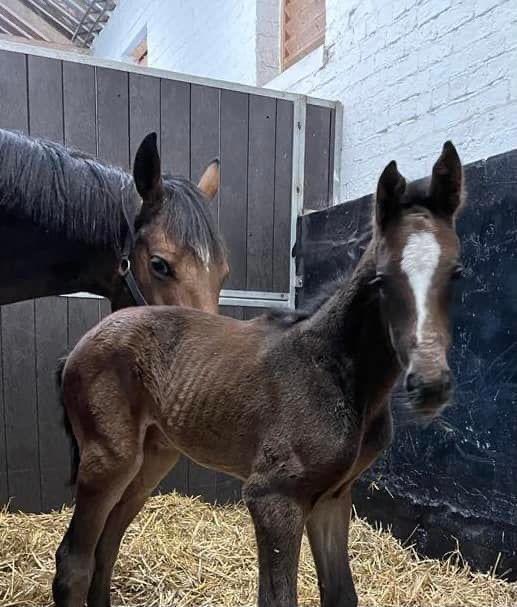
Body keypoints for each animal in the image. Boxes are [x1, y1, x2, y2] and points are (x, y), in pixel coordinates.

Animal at [54, 142, 466, 607]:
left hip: (153, 456)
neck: (336, 370)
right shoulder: (273, 497)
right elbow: (278, 598)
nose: (431, 385)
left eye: (457, 272)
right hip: (109, 458)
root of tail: (81, 345)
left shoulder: (332, 497)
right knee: (75, 561)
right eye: (381, 278)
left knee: (108, 542)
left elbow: (341, 593)